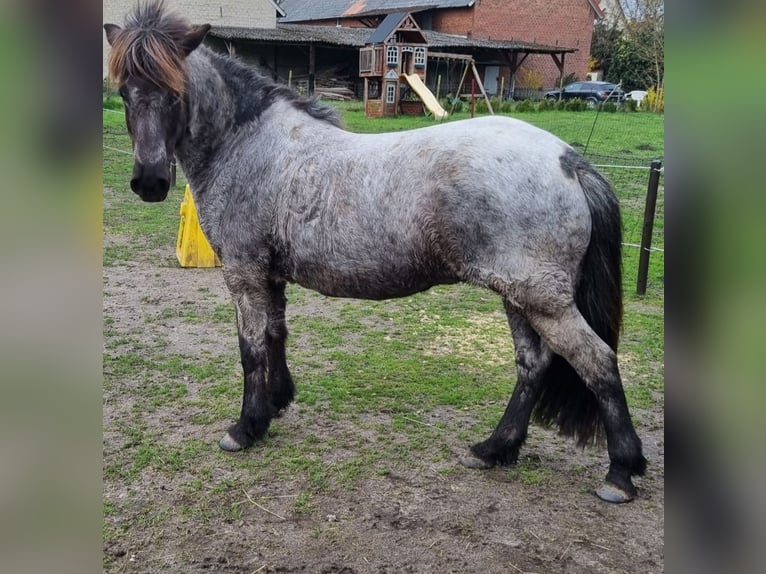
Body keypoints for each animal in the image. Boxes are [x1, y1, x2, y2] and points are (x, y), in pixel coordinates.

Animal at [104, 0, 646, 503]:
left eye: (175, 92)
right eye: (125, 92)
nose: (149, 182)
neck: (249, 144)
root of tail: (568, 159)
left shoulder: (243, 273)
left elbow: (251, 347)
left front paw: (246, 426)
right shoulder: (269, 275)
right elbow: (277, 336)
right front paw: (277, 403)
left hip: (541, 299)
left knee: (597, 362)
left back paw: (620, 472)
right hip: (520, 296)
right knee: (533, 365)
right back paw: (494, 449)